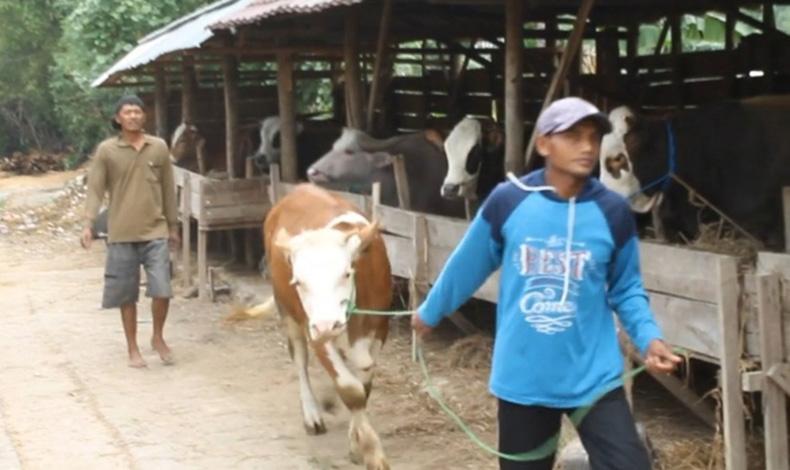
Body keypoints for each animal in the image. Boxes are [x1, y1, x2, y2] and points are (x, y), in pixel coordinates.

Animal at [262, 185, 394, 470]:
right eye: (298, 282)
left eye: (346, 273)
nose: (326, 324)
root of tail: (301, 188)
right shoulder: (316, 333)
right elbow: (351, 390)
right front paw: (371, 452)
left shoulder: (379, 329)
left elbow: (364, 386)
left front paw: (356, 442)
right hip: (288, 313)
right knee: (299, 360)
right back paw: (312, 414)